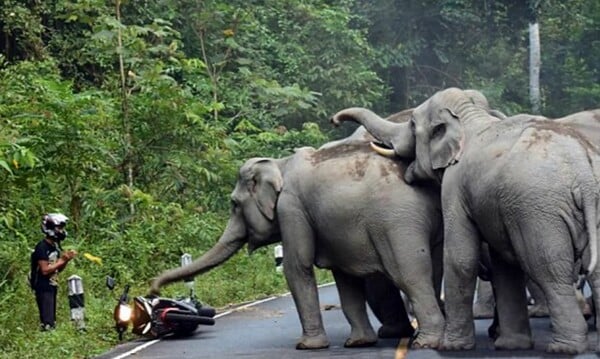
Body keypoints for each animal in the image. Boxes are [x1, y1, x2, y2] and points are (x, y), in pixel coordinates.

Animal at [148, 134, 442, 350]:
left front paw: (307, 346)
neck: (280, 164)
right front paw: (357, 343)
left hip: (397, 222)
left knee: (409, 274)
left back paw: (426, 343)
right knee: (434, 270)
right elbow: (344, 279)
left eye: (234, 204)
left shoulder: (291, 208)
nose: (152, 290)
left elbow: (296, 266)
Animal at [330, 87, 600, 354]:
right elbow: (503, 266)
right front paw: (510, 345)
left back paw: (565, 348)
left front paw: (452, 346)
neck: (470, 118)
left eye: (413, 124)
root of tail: (583, 172)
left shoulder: (454, 185)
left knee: (548, 268)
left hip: (539, 211)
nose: (334, 120)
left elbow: (460, 257)